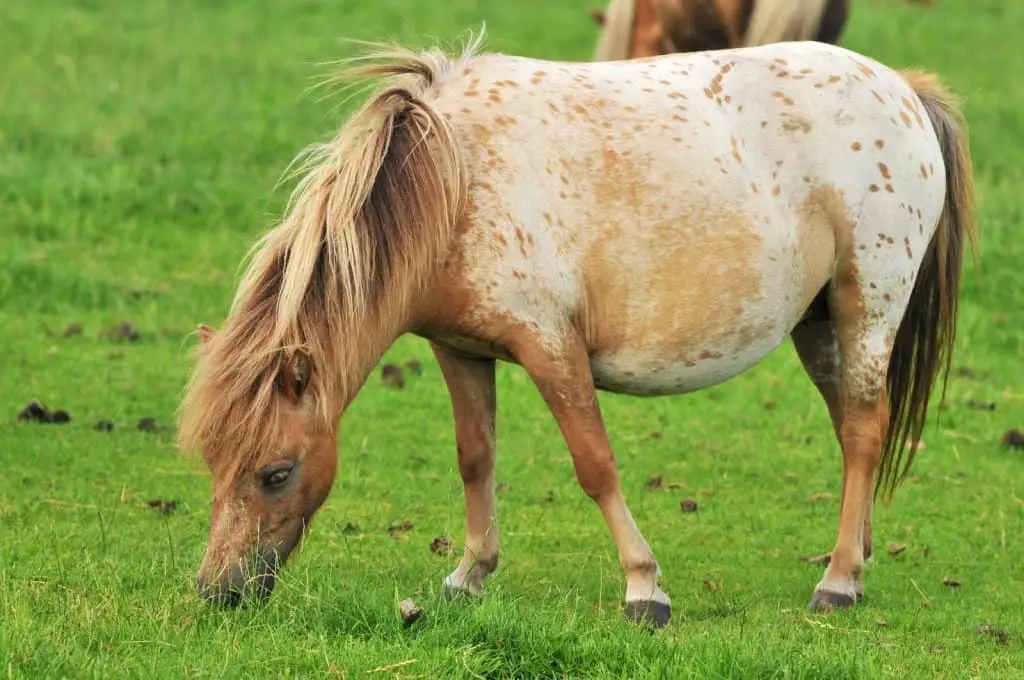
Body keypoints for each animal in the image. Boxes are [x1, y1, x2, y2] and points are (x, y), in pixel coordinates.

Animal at [178, 30, 974, 626]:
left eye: (276, 472)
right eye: (214, 461)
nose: (220, 592)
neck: (455, 180)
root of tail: (902, 89)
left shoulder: (550, 345)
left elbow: (595, 465)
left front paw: (644, 587)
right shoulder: (459, 350)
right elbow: (476, 457)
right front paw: (468, 576)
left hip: (867, 306)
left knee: (865, 431)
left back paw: (836, 581)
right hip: (820, 326)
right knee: (853, 430)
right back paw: (856, 561)